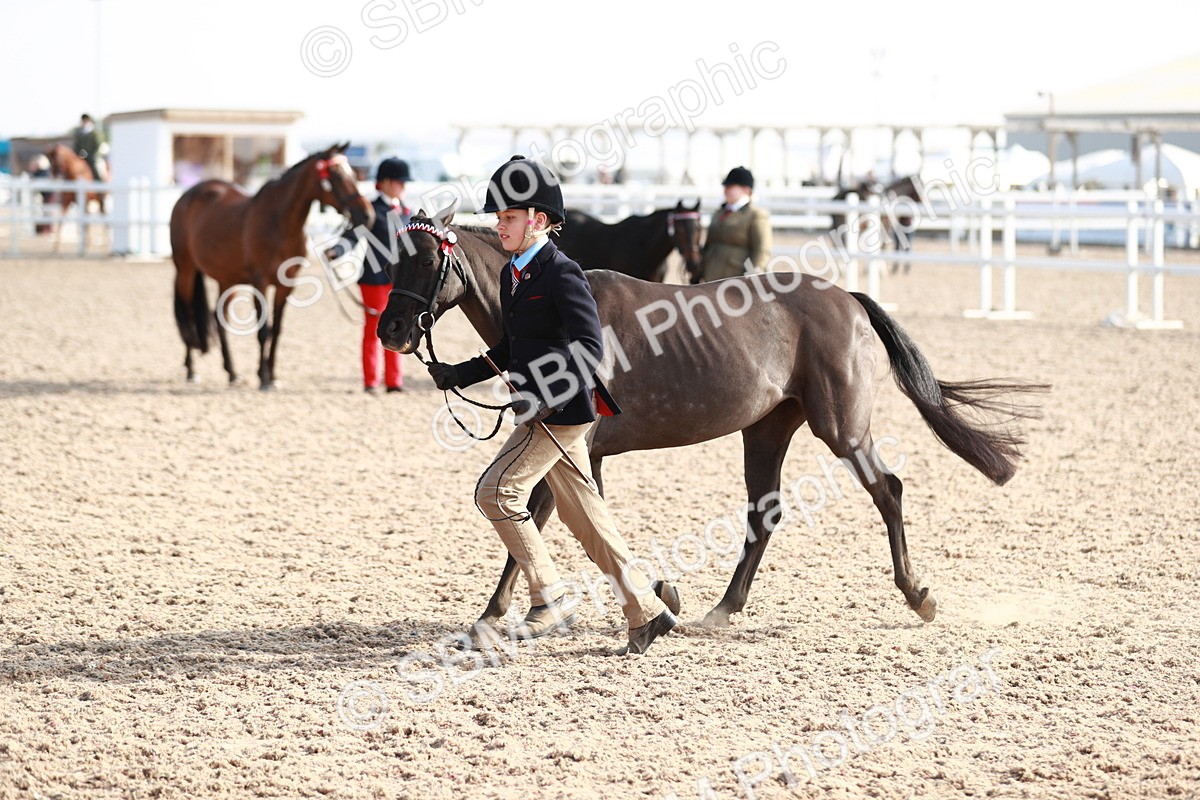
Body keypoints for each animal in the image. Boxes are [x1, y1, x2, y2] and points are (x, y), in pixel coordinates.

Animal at [169, 142, 374, 389]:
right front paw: (264, 378)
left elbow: (276, 330)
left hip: (227, 280)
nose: (367, 215)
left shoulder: (286, 286)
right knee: (188, 314)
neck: (279, 223)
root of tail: (187, 196)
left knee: (219, 320)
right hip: (186, 269)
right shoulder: (261, 283)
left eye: (353, 173)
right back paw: (192, 370)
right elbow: (263, 331)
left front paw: (272, 375)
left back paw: (232, 373)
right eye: (335, 175)